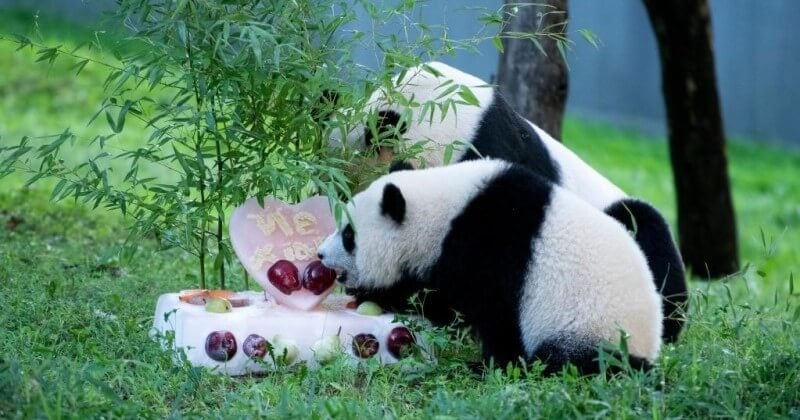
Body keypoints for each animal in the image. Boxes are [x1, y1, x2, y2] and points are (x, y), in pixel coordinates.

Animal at [318, 158, 664, 374]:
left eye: (348, 236)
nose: (320, 255)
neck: (444, 211)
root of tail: (649, 347)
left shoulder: (491, 248)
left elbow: (466, 307)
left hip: (589, 327)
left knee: (569, 361)